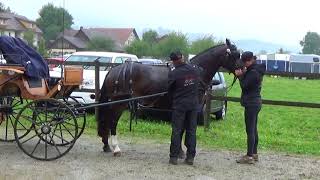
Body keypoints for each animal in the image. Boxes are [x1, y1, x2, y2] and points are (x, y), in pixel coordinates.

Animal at [97, 38, 240, 155]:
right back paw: (115, 148)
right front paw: (180, 152)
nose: (241, 70)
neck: (194, 71)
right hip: (119, 103)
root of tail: (114, 70)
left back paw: (106, 145)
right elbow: (181, 129)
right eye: (235, 54)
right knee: (112, 121)